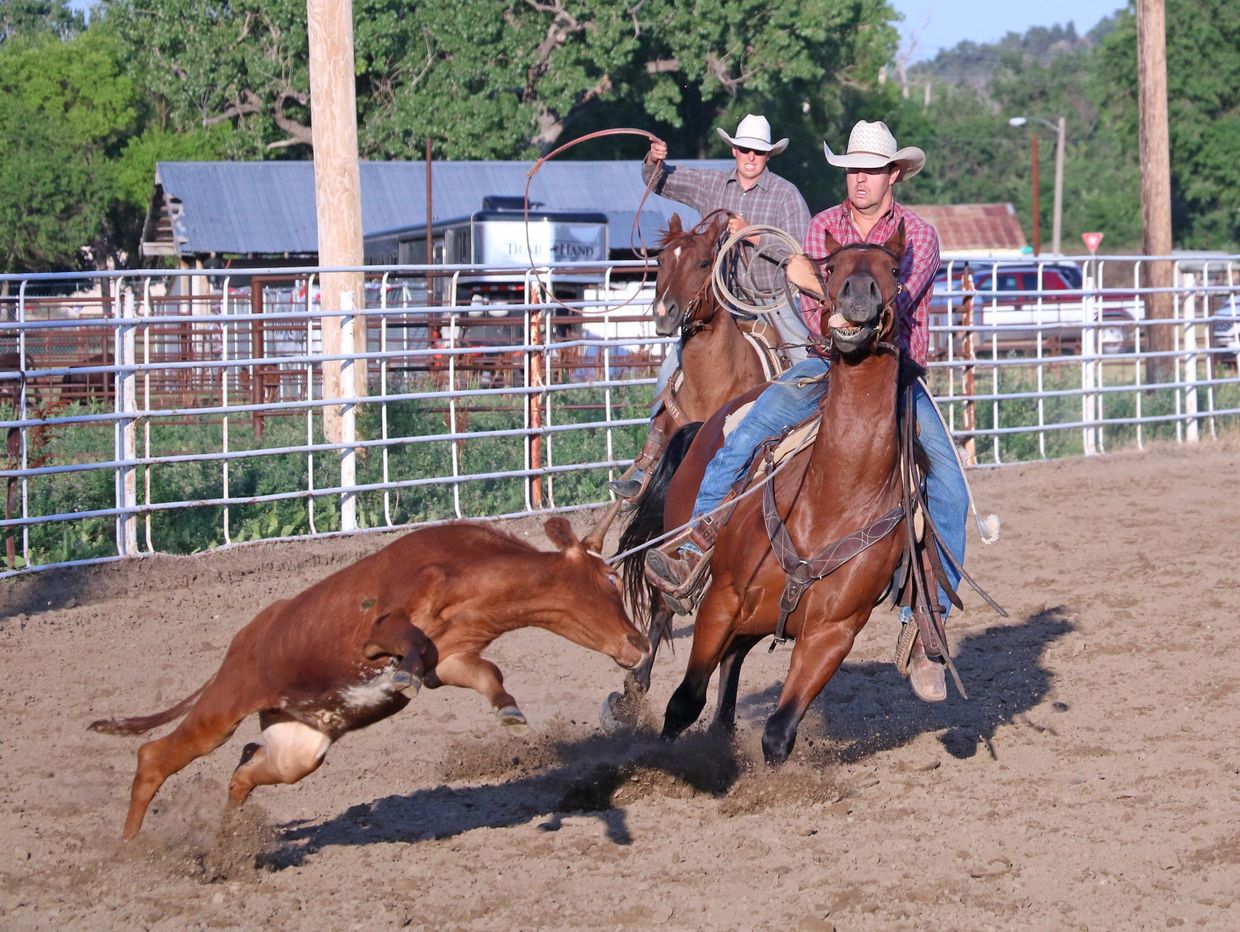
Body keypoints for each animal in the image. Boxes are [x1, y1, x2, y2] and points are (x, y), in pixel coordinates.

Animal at [88, 513, 649, 842]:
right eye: (608, 579)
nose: (640, 644)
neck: (469, 575)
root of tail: (244, 640)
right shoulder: (380, 632)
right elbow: (408, 642)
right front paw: (401, 677)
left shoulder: (456, 660)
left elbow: (487, 673)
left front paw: (507, 709)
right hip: (223, 707)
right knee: (156, 757)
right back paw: (130, 850)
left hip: (299, 749)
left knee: (245, 770)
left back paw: (232, 837)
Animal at [659, 221, 912, 758]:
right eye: (830, 267)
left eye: (894, 268)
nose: (860, 295)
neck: (831, 502)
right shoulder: (723, 599)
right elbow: (684, 701)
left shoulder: (831, 635)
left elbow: (779, 733)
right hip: (681, 563)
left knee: (733, 660)